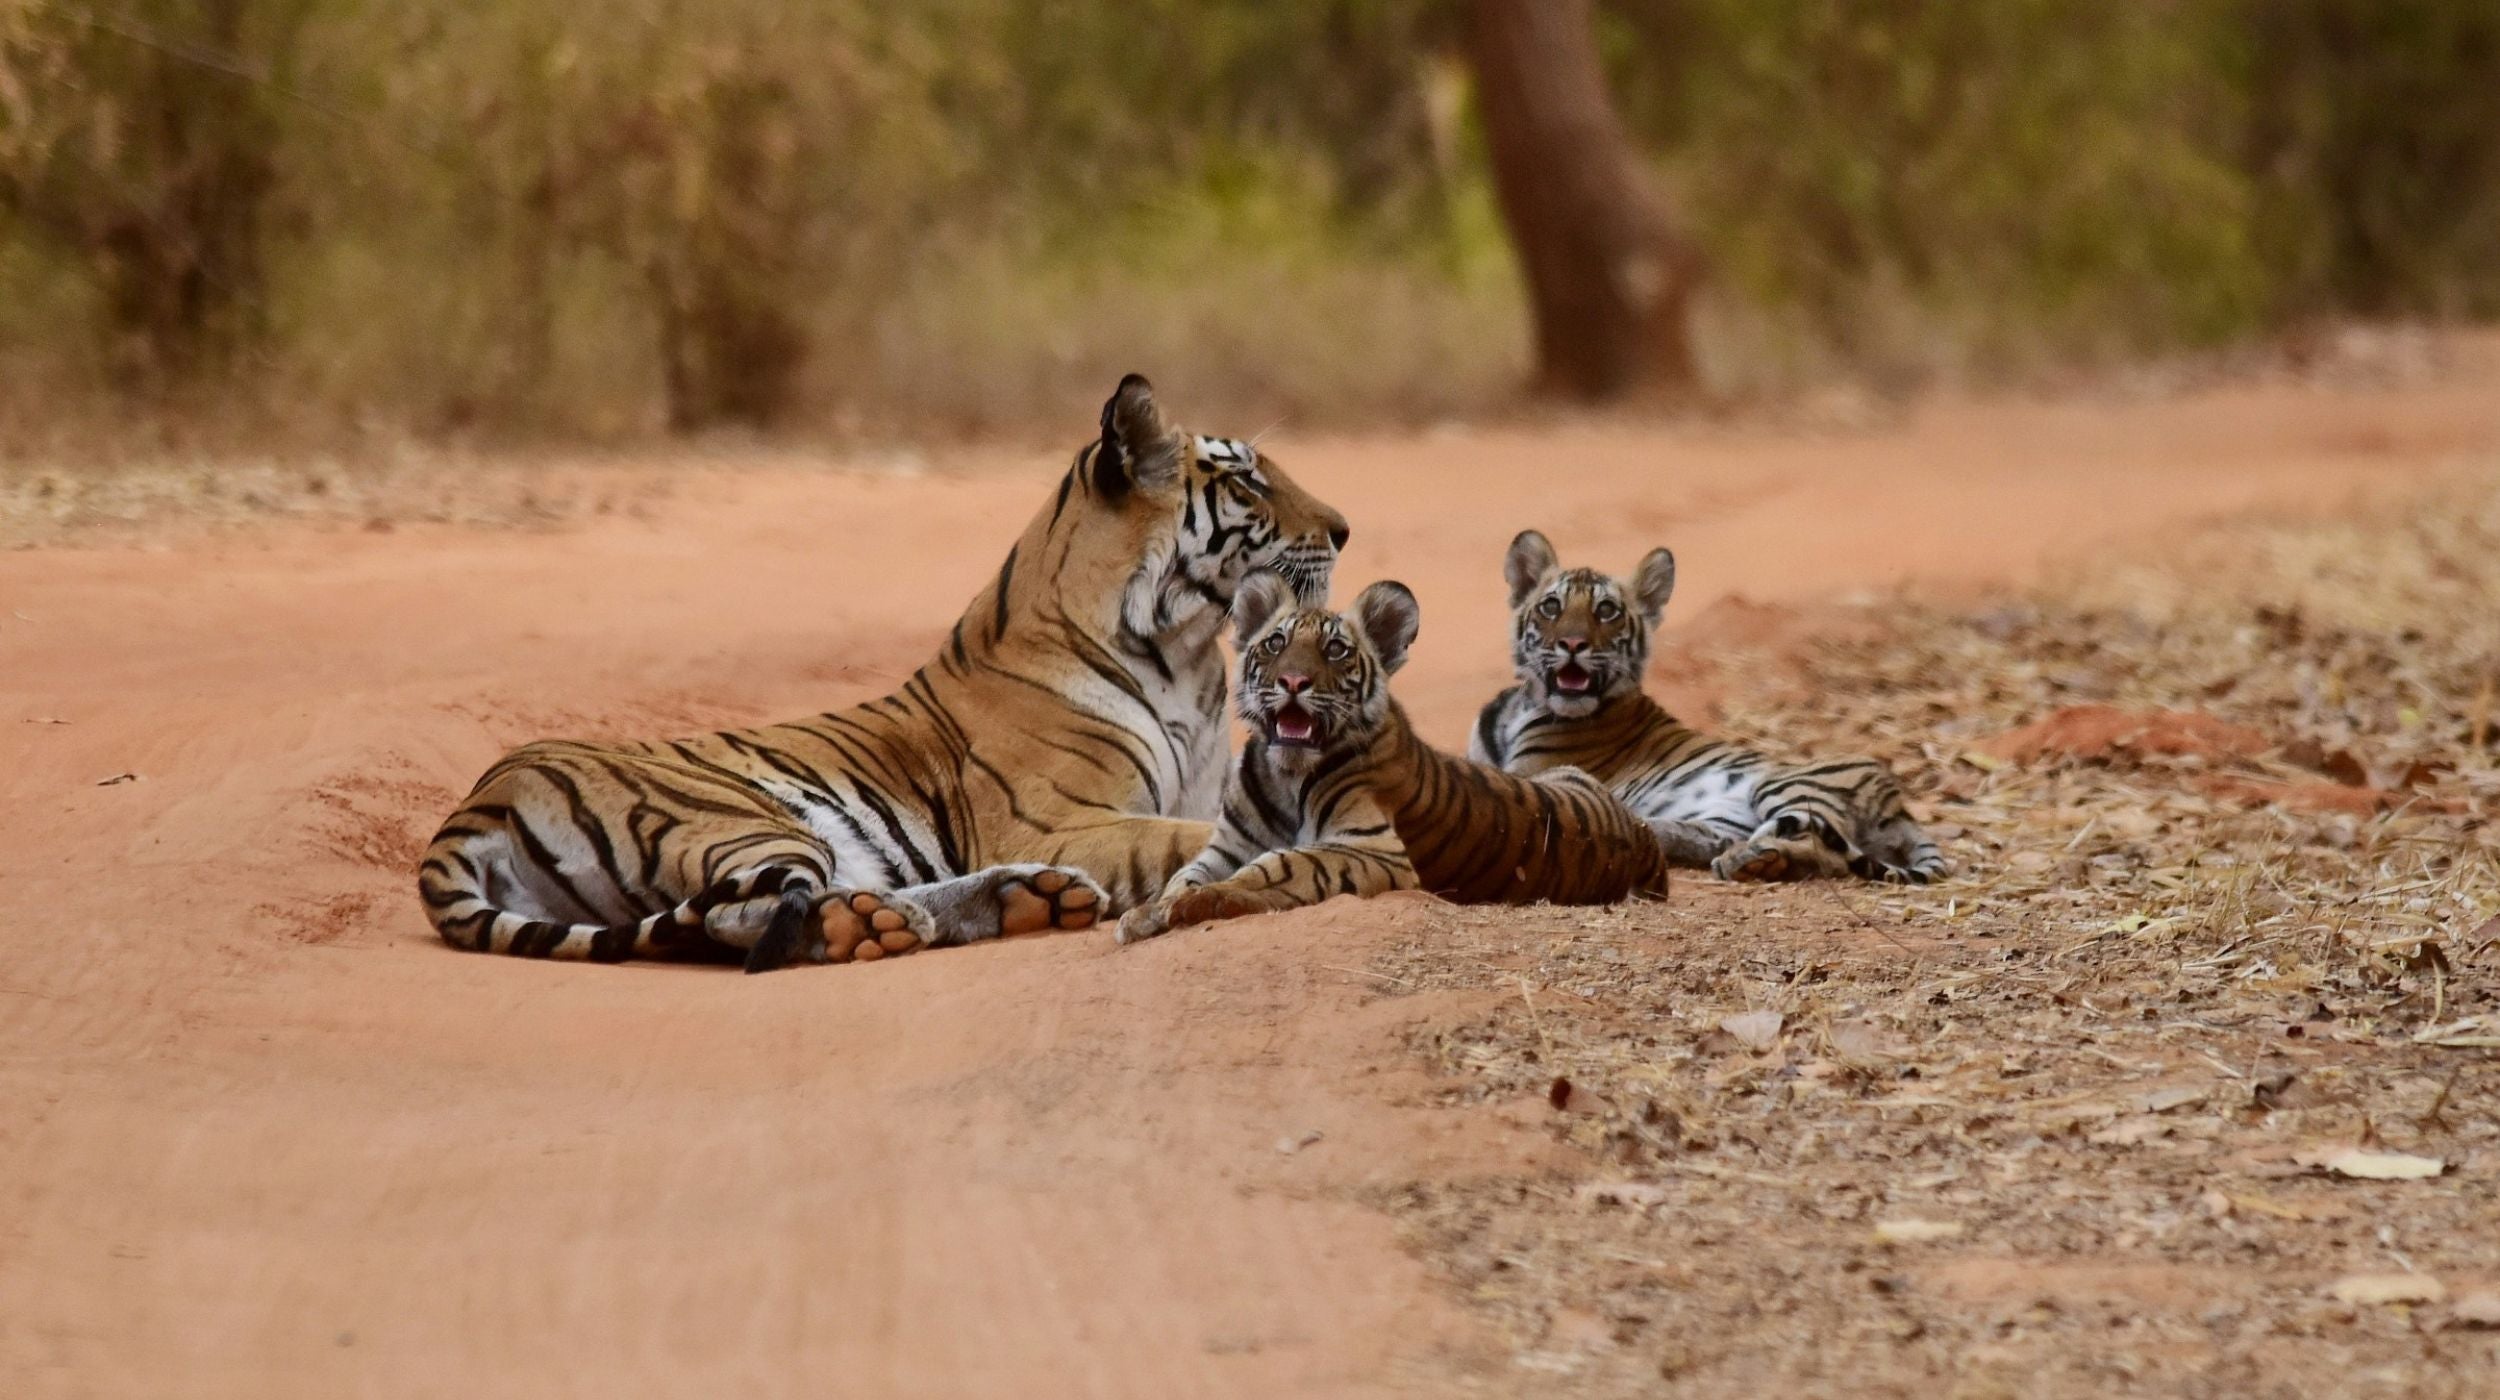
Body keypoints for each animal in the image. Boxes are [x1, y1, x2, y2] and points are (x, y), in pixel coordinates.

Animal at [417, 375, 1350, 971]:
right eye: (1247, 482)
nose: (1344, 529)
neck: (1187, 652)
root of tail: (475, 803)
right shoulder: (1060, 819)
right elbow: (1187, 840)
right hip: (741, 819)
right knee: (739, 917)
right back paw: (886, 924)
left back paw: (1025, 902)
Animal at [1115, 571, 1669, 943]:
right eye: (1275, 643)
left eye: (1335, 651)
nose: (1292, 681)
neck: (1285, 774)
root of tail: (1643, 837)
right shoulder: (1227, 846)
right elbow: (1185, 875)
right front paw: (1149, 913)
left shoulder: (1376, 847)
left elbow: (1282, 863)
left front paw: (1202, 903)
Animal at [1469, 530, 1947, 884]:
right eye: (1551, 606)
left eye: (1606, 611)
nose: (1572, 643)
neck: (1524, 704)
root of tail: (1898, 803)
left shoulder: (1532, 773)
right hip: (1724, 817)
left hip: (1787, 786)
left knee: (1819, 847)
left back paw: (1747, 860)